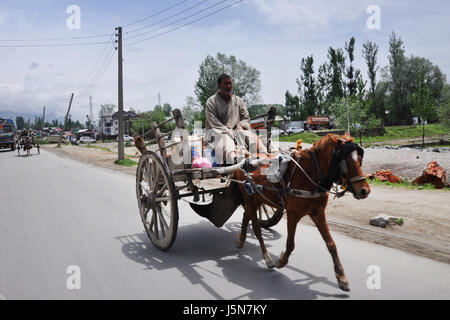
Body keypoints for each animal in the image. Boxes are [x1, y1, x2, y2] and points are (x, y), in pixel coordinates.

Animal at [234, 134, 370, 292]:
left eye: (359, 159)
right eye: (344, 161)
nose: (364, 190)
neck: (310, 174)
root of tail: (246, 158)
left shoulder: (318, 213)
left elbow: (331, 244)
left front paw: (341, 277)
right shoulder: (293, 214)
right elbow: (290, 244)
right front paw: (281, 261)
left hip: (257, 199)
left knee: (246, 215)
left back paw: (241, 239)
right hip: (250, 198)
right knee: (256, 228)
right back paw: (267, 257)